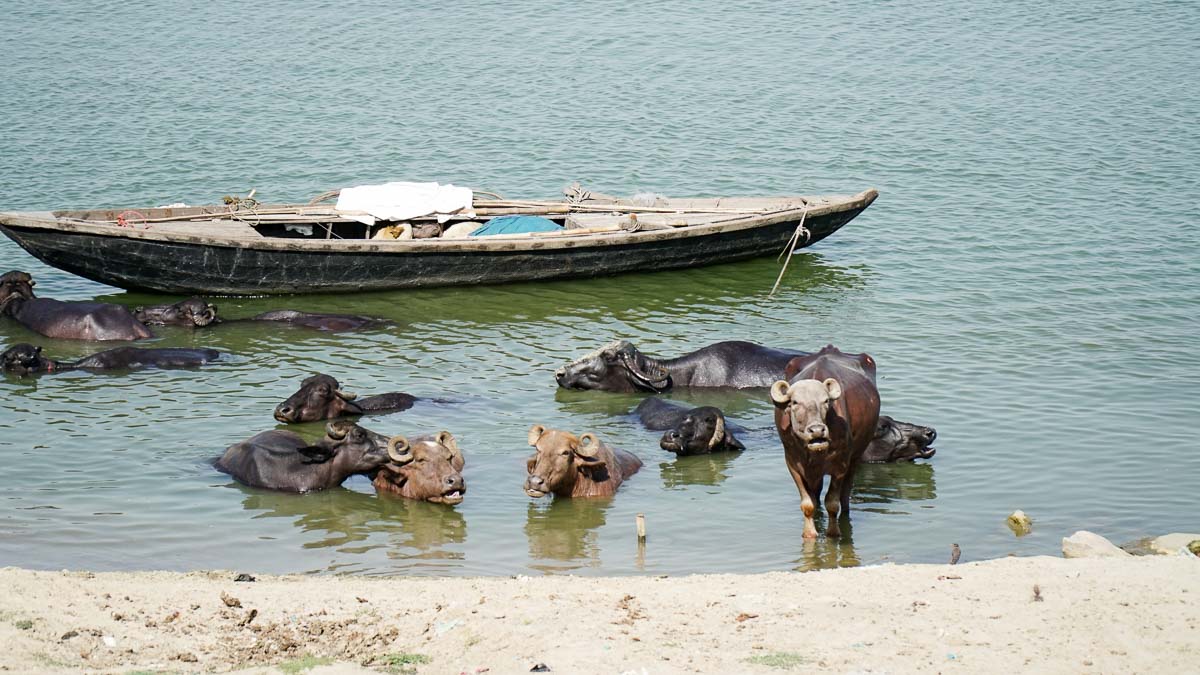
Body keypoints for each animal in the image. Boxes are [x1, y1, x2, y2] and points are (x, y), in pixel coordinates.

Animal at [768, 343, 883, 538]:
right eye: (795, 402)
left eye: (826, 401)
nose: (817, 430)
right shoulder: (793, 464)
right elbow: (808, 504)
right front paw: (809, 533)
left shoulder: (840, 465)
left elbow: (832, 503)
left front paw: (833, 533)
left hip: (855, 458)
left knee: (845, 495)